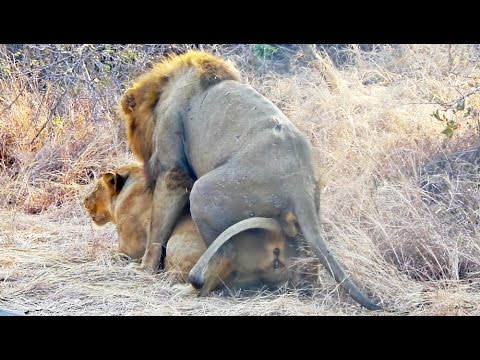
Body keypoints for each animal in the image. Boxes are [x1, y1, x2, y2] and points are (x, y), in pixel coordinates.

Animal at [120, 50, 382, 310]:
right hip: (310, 210)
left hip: (204, 194)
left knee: (223, 255)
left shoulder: (171, 168)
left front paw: (143, 269)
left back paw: (188, 289)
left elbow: (158, 227)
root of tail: (299, 185)